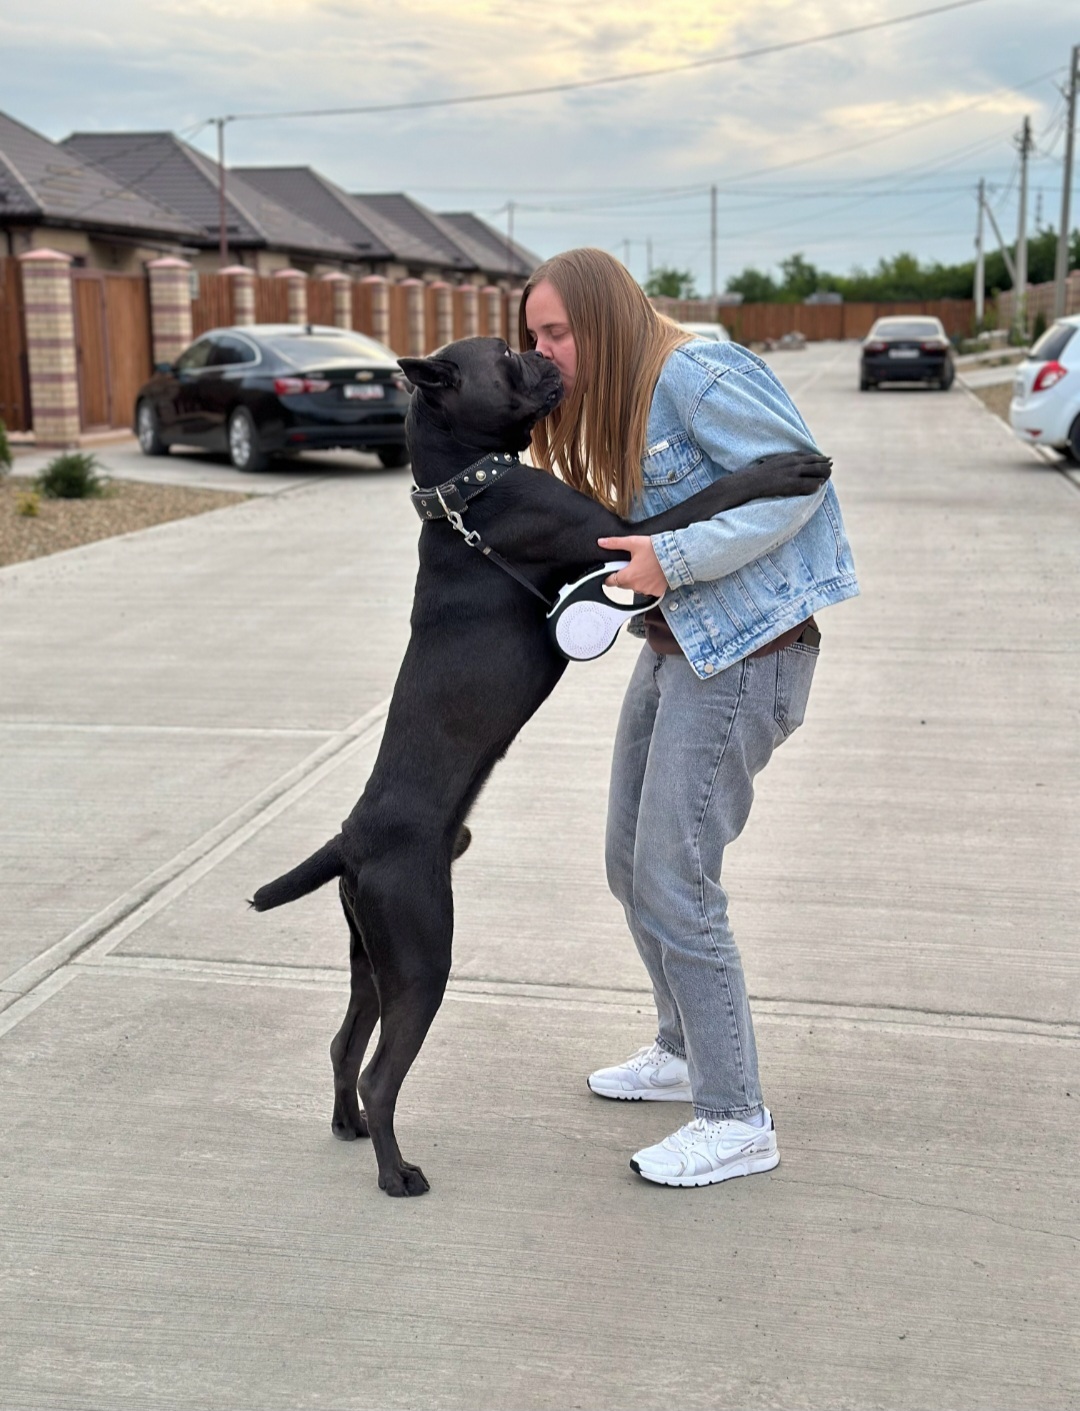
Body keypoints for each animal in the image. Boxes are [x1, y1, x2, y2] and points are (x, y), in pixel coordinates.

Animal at [252, 335, 824, 1196]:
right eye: (504, 355)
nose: (539, 350)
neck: (463, 482)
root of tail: (350, 840)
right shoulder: (624, 534)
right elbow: (713, 495)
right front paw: (787, 468)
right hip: (421, 951)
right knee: (384, 1072)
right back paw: (397, 1172)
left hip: (369, 958)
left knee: (344, 1043)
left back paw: (348, 1126)